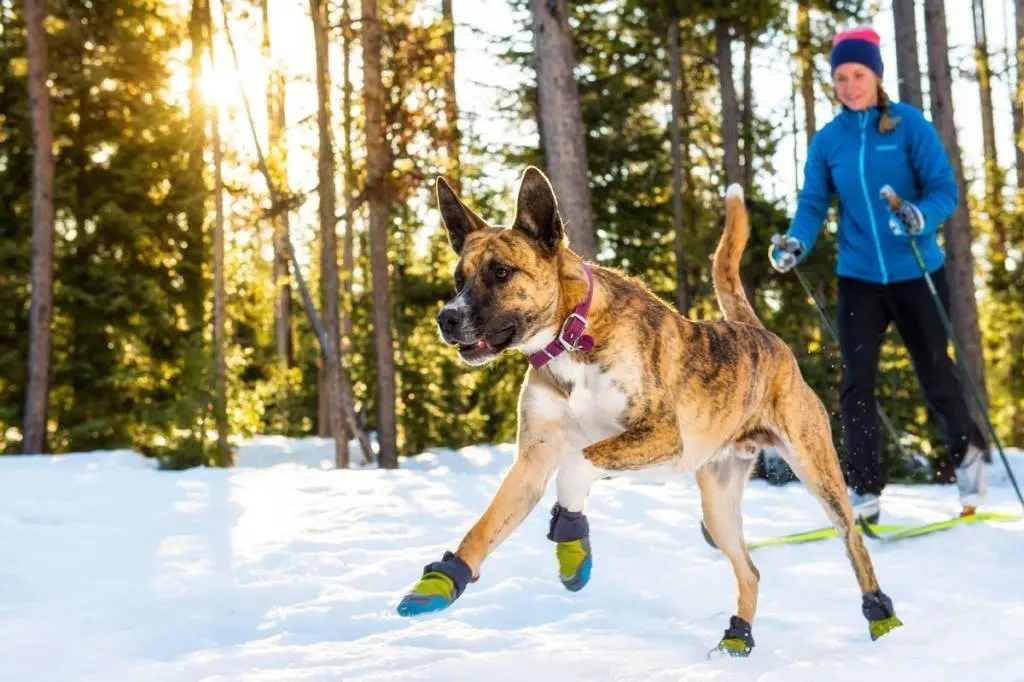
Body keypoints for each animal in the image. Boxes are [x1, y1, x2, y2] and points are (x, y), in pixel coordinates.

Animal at [395, 164, 901, 655]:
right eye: (459, 278)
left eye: (501, 272)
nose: (446, 317)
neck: (571, 337)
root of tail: (763, 335)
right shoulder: (533, 458)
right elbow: (485, 526)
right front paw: (443, 581)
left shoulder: (658, 435)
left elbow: (577, 466)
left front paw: (572, 537)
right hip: (717, 503)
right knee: (750, 569)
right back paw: (738, 636)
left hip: (817, 470)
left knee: (853, 541)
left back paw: (879, 612)